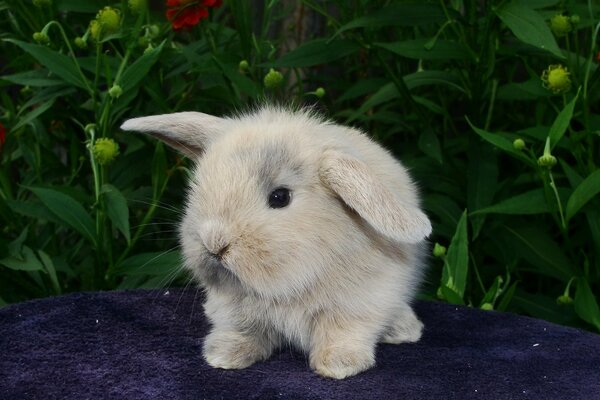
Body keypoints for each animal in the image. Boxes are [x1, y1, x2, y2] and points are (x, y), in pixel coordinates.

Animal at [120, 105, 432, 378]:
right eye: (199, 187)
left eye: (280, 197)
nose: (214, 243)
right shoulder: (234, 309)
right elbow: (243, 330)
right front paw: (223, 355)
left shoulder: (359, 304)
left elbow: (343, 332)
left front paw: (338, 365)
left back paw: (406, 330)